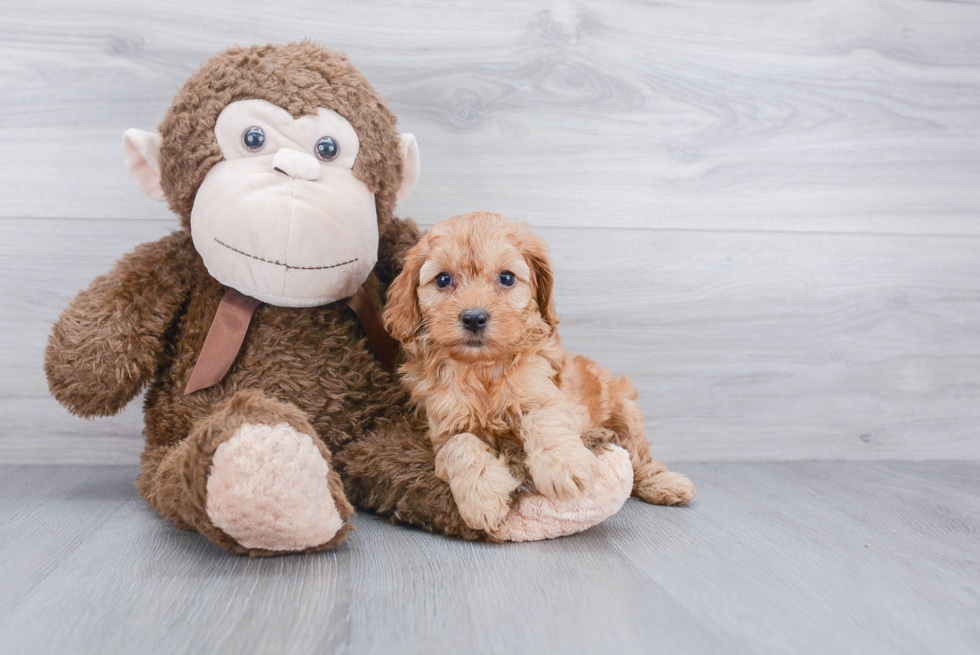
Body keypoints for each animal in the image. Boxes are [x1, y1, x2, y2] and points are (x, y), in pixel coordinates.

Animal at [378, 214, 692, 532]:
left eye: (506, 277)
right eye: (443, 279)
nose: (474, 318)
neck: (483, 368)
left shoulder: (553, 397)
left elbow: (543, 419)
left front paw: (563, 465)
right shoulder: (445, 426)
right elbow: (462, 446)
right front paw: (482, 497)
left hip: (626, 411)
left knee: (640, 459)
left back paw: (665, 483)